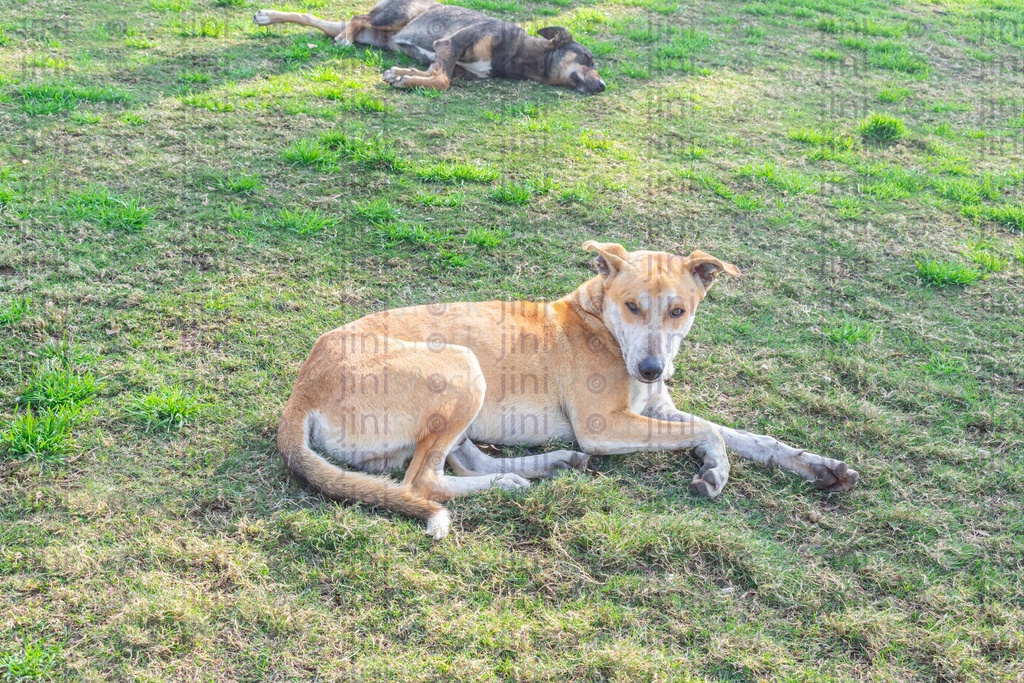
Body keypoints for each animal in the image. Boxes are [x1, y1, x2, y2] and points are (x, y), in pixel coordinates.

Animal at [254, 0, 602, 93]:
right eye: (588, 59)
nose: (603, 86)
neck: (520, 53)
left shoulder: (449, 58)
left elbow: (437, 74)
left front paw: (401, 74)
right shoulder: (448, 43)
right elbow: (442, 80)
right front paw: (406, 79)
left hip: (375, 34)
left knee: (319, 20)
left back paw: (268, 15)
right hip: (395, 15)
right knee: (355, 17)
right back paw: (344, 39)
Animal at [278, 241, 856, 540]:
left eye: (678, 310)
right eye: (632, 306)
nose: (651, 369)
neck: (599, 321)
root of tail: (301, 392)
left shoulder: (655, 409)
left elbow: (744, 435)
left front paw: (817, 465)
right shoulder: (607, 426)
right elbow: (711, 431)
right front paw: (714, 469)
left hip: (463, 395)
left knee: (458, 462)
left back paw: (541, 468)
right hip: (463, 368)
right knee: (423, 482)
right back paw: (512, 481)